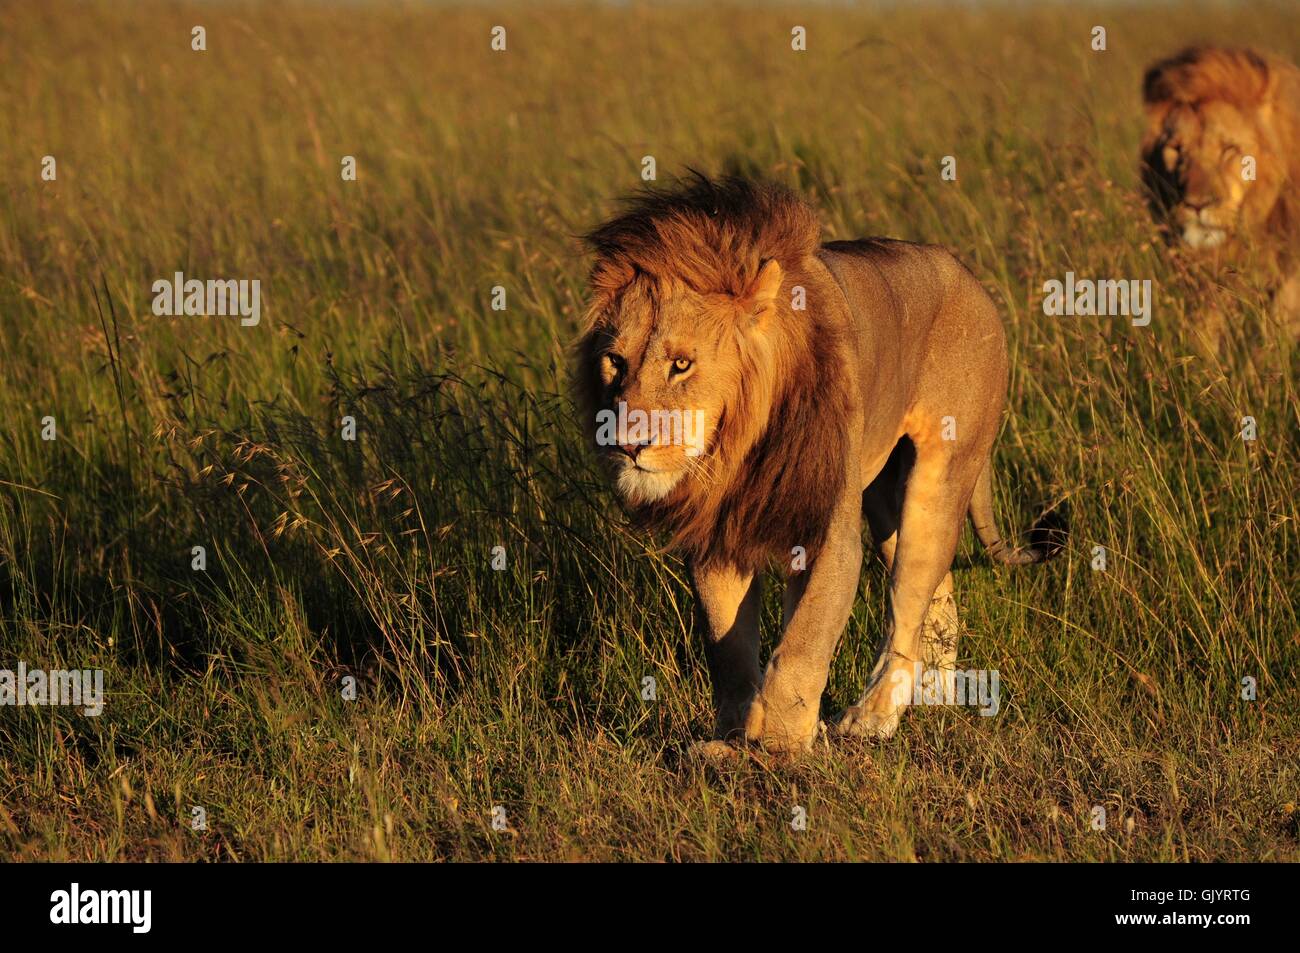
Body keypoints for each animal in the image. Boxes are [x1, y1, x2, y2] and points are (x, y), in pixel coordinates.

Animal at [577, 172, 1055, 748]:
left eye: (681, 364)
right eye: (615, 361)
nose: (626, 443)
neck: (740, 446)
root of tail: (965, 272)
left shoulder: (828, 528)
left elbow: (804, 639)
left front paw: (779, 744)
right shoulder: (718, 533)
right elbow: (728, 644)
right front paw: (733, 738)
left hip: (939, 476)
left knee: (909, 598)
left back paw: (872, 719)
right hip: (886, 502)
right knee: (936, 597)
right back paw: (931, 699)